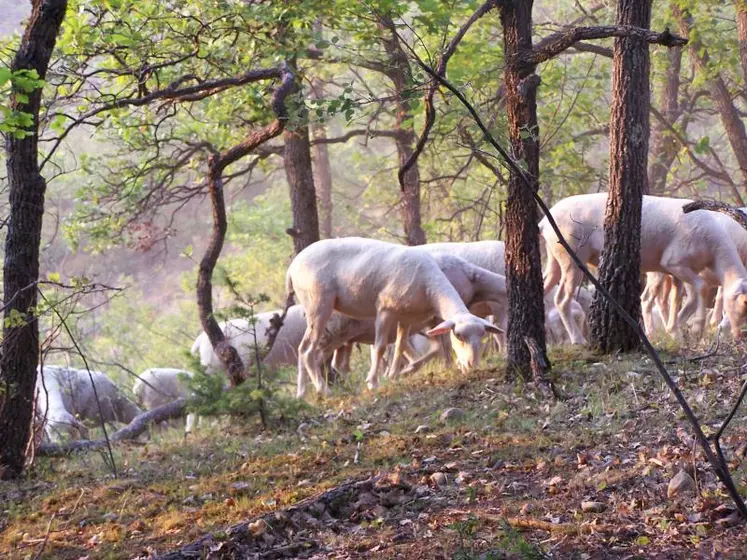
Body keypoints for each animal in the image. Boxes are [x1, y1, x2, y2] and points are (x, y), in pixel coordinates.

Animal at [286, 238, 502, 396]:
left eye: (482, 335)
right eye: (458, 335)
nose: (472, 365)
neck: (429, 286)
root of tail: (292, 267)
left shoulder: (406, 317)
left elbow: (399, 347)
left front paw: (393, 375)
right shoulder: (385, 310)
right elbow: (380, 347)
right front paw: (373, 383)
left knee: (310, 353)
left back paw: (302, 394)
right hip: (319, 305)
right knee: (307, 350)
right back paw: (323, 390)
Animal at [540, 195, 747, 344]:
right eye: (740, 304)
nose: (738, 335)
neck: (715, 251)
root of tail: (544, 222)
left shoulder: (680, 271)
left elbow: (681, 299)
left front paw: (675, 330)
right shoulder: (674, 262)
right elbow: (701, 289)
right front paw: (694, 328)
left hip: (554, 257)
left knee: (544, 287)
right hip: (572, 257)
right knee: (561, 299)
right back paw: (578, 340)